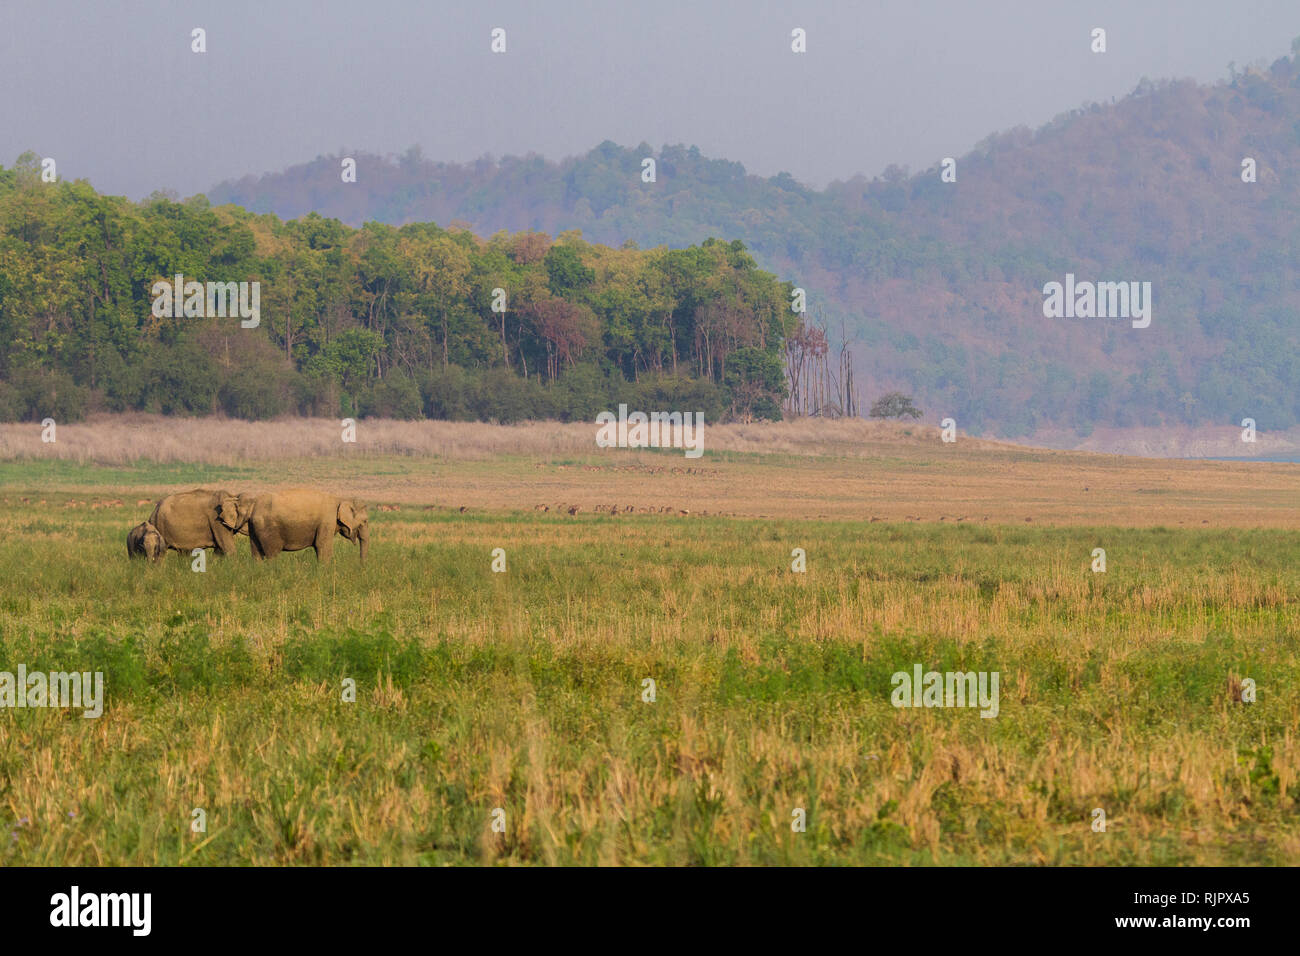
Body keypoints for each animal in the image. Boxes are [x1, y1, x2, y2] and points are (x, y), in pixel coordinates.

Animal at [239, 489, 369, 564]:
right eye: (365, 520)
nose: (361, 566)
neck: (342, 498)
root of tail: (253, 506)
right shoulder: (327, 520)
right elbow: (322, 545)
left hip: (254, 527)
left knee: (256, 553)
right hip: (267, 528)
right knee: (272, 553)